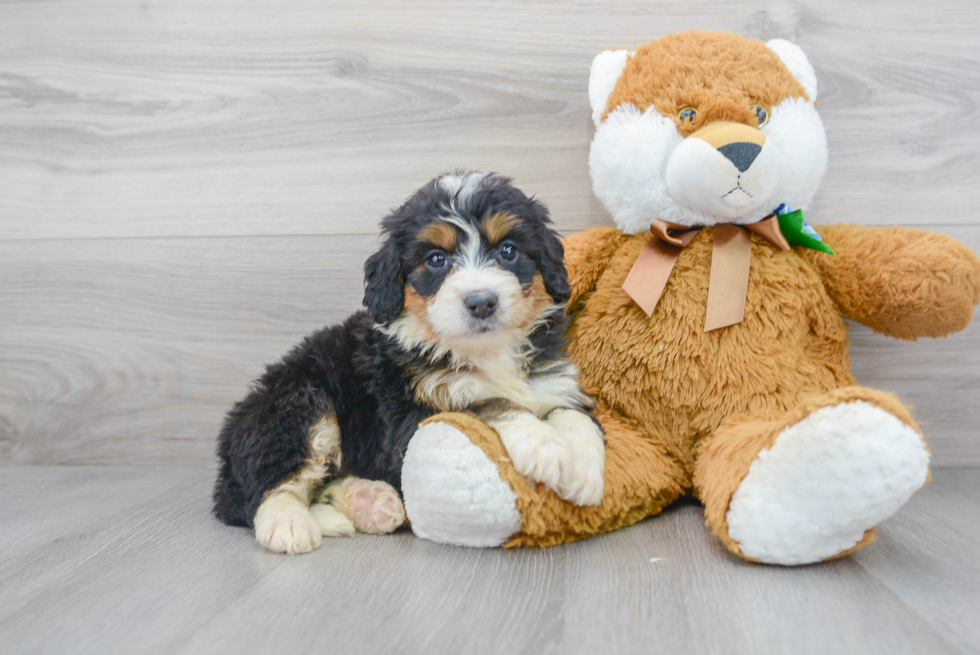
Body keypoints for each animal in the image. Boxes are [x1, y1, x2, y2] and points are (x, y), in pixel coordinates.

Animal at [214, 170, 604, 552]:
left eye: (508, 251)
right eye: (436, 259)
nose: (481, 302)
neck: (484, 351)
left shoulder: (554, 382)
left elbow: (572, 413)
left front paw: (584, 469)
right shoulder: (411, 417)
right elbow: (485, 403)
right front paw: (546, 447)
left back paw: (370, 502)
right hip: (298, 406)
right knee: (268, 486)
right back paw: (289, 524)